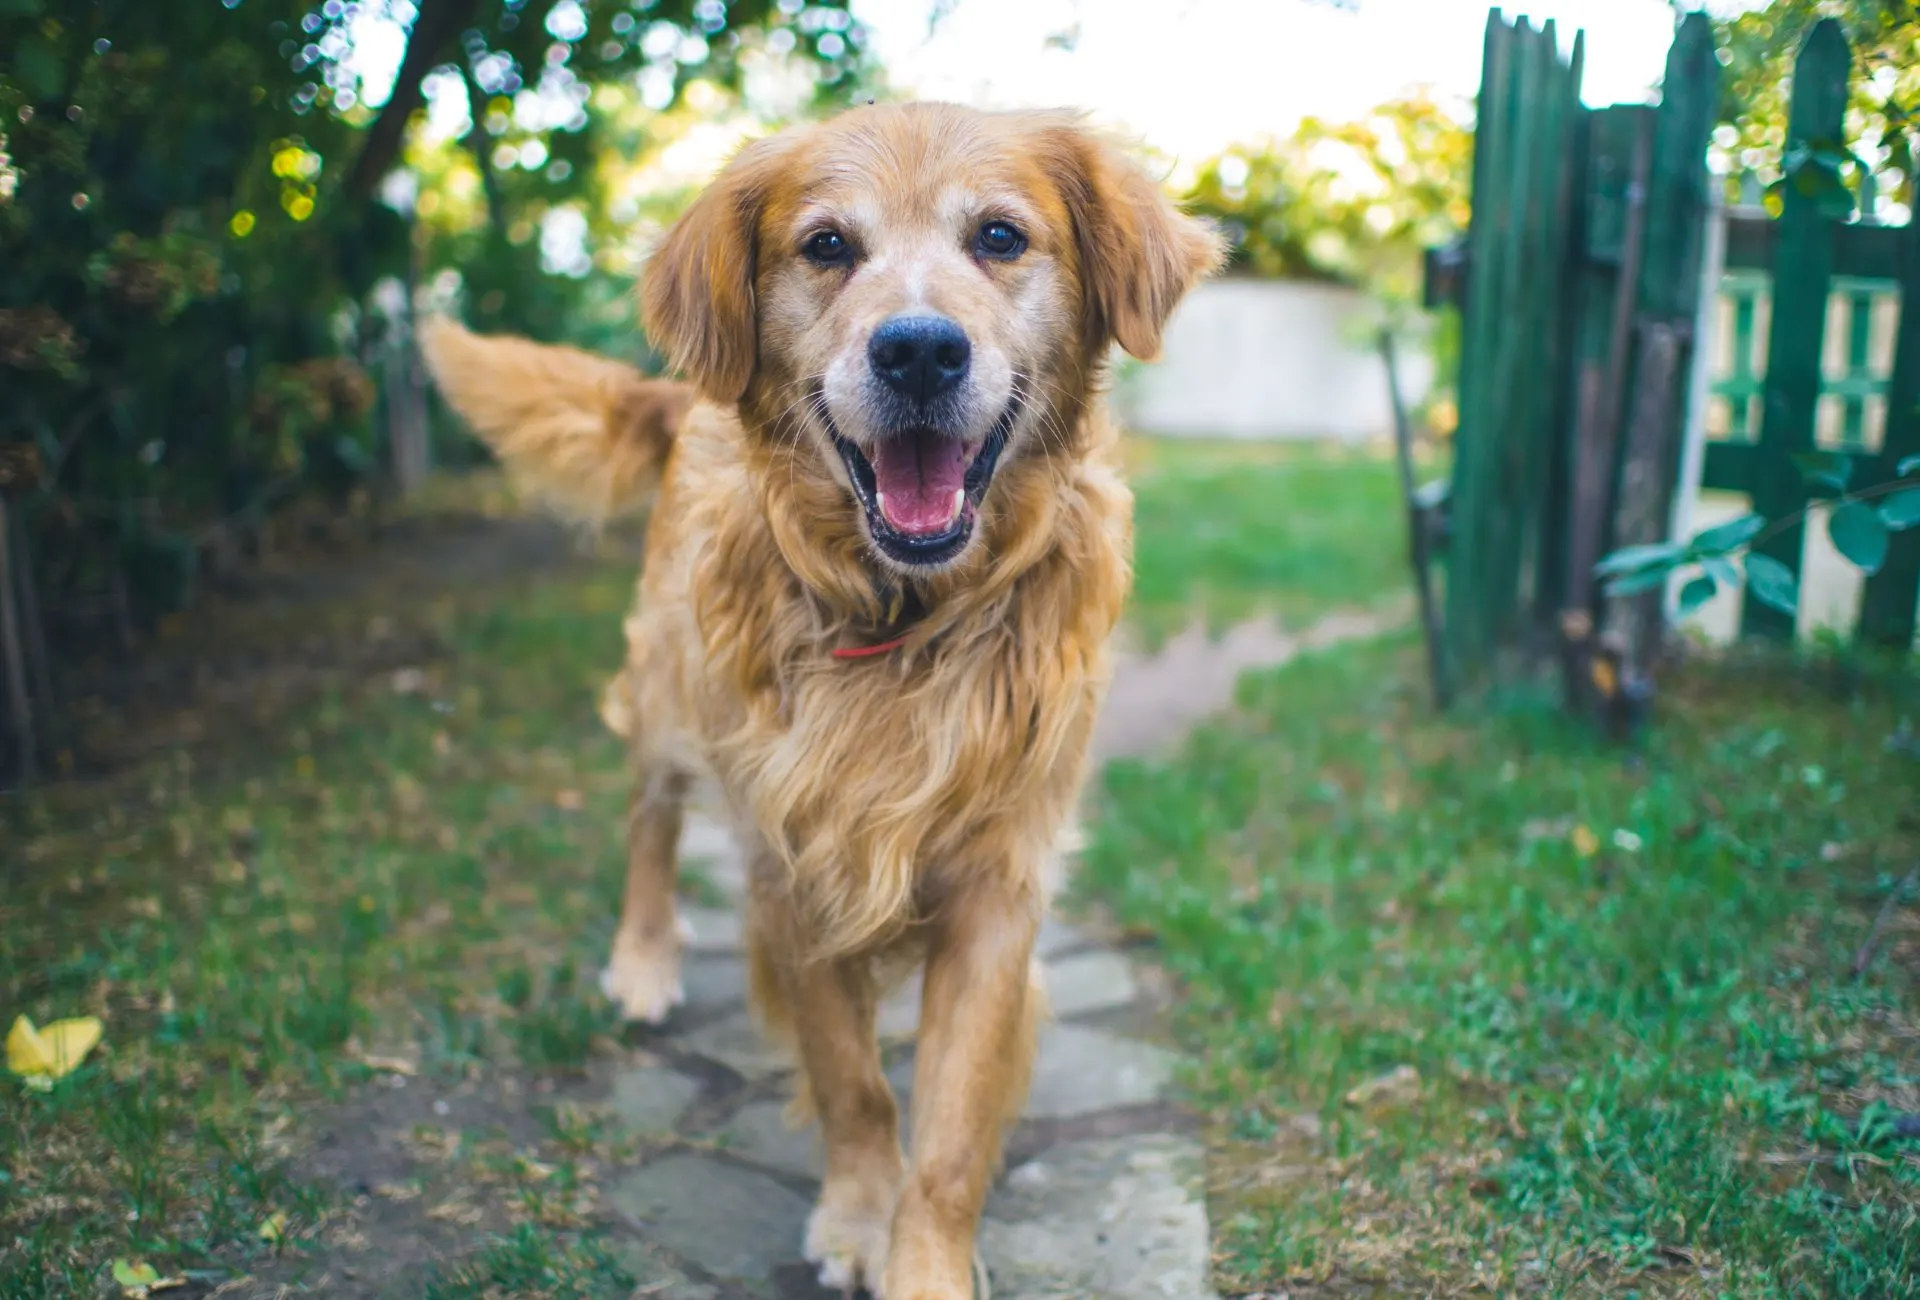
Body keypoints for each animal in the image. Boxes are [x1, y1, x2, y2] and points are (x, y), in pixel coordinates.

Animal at [428, 104, 1221, 1298]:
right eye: (827, 246)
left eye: (999, 236)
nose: (919, 349)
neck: (907, 621)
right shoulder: (792, 863)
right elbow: (853, 1080)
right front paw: (856, 1217)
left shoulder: (999, 883)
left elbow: (948, 1131)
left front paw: (923, 1260)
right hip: (670, 694)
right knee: (650, 816)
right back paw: (646, 956)